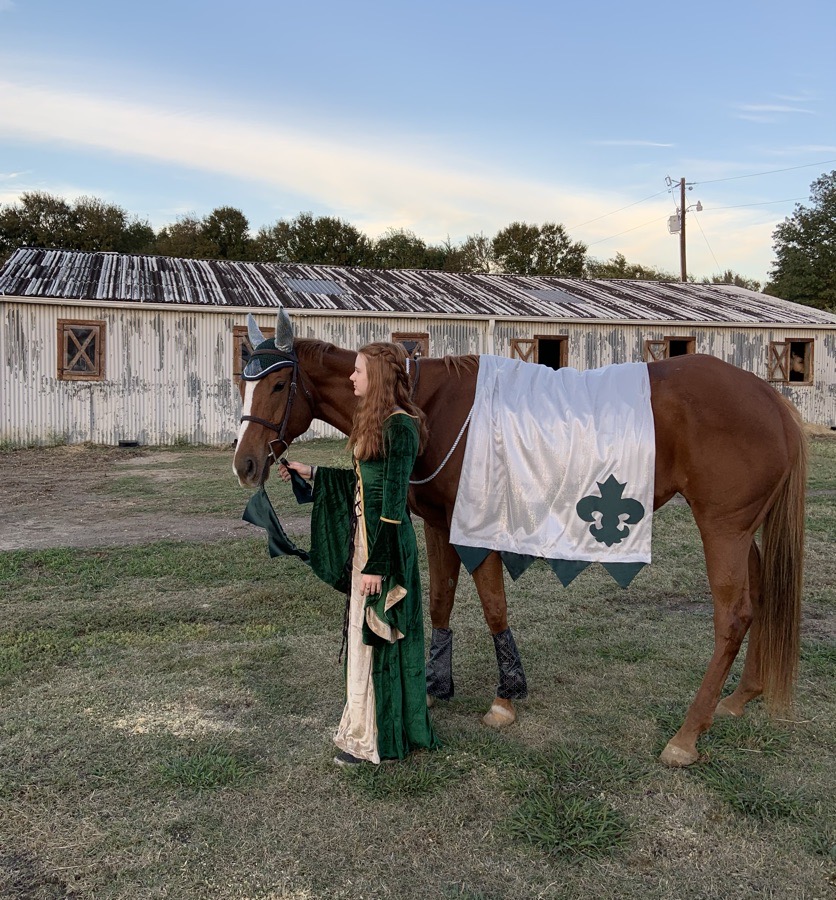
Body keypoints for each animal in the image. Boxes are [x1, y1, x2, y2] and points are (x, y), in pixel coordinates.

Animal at [233, 311, 807, 767]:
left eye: (278, 386)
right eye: (244, 382)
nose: (246, 464)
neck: (425, 405)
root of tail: (769, 396)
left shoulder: (476, 529)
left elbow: (493, 606)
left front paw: (505, 697)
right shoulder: (439, 523)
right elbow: (440, 603)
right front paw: (434, 686)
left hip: (723, 528)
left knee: (733, 616)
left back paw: (687, 735)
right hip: (743, 531)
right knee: (762, 596)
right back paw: (741, 697)